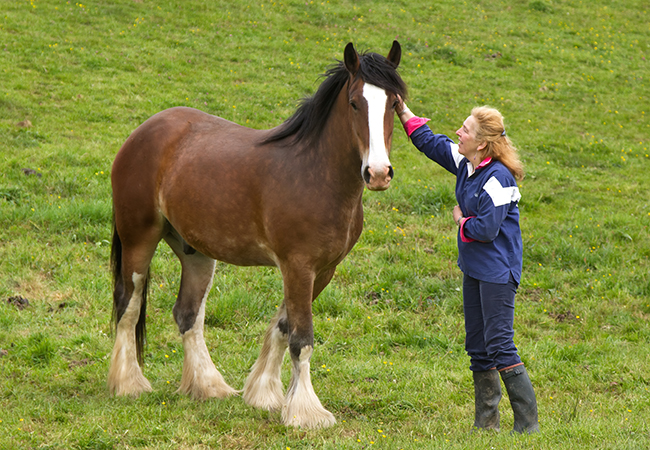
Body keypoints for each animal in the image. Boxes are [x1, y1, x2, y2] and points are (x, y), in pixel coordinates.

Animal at [108, 41, 407, 429]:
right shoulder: (298, 267)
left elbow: (282, 326)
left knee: (187, 314)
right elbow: (301, 338)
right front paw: (306, 413)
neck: (315, 173)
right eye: (355, 102)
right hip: (138, 239)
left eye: (395, 103)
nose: (378, 173)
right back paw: (129, 384)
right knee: (128, 305)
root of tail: (142, 132)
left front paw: (264, 394)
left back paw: (208, 386)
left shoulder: (322, 271)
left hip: (197, 253)